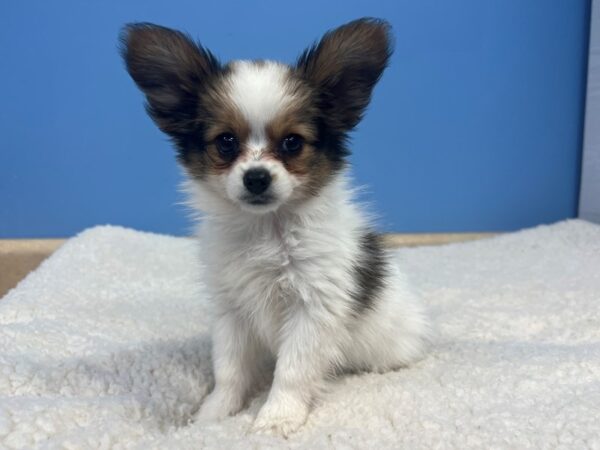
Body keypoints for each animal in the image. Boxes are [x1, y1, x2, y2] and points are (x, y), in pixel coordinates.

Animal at [122, 18, 428, 436]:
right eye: (226, 142)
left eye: (292, 143)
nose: (256, 177)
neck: (266, 229)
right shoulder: (231, 309)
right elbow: (229, 369)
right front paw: (212, 415)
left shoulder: (312, 306)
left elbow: (292, 370)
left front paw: (277, 417)